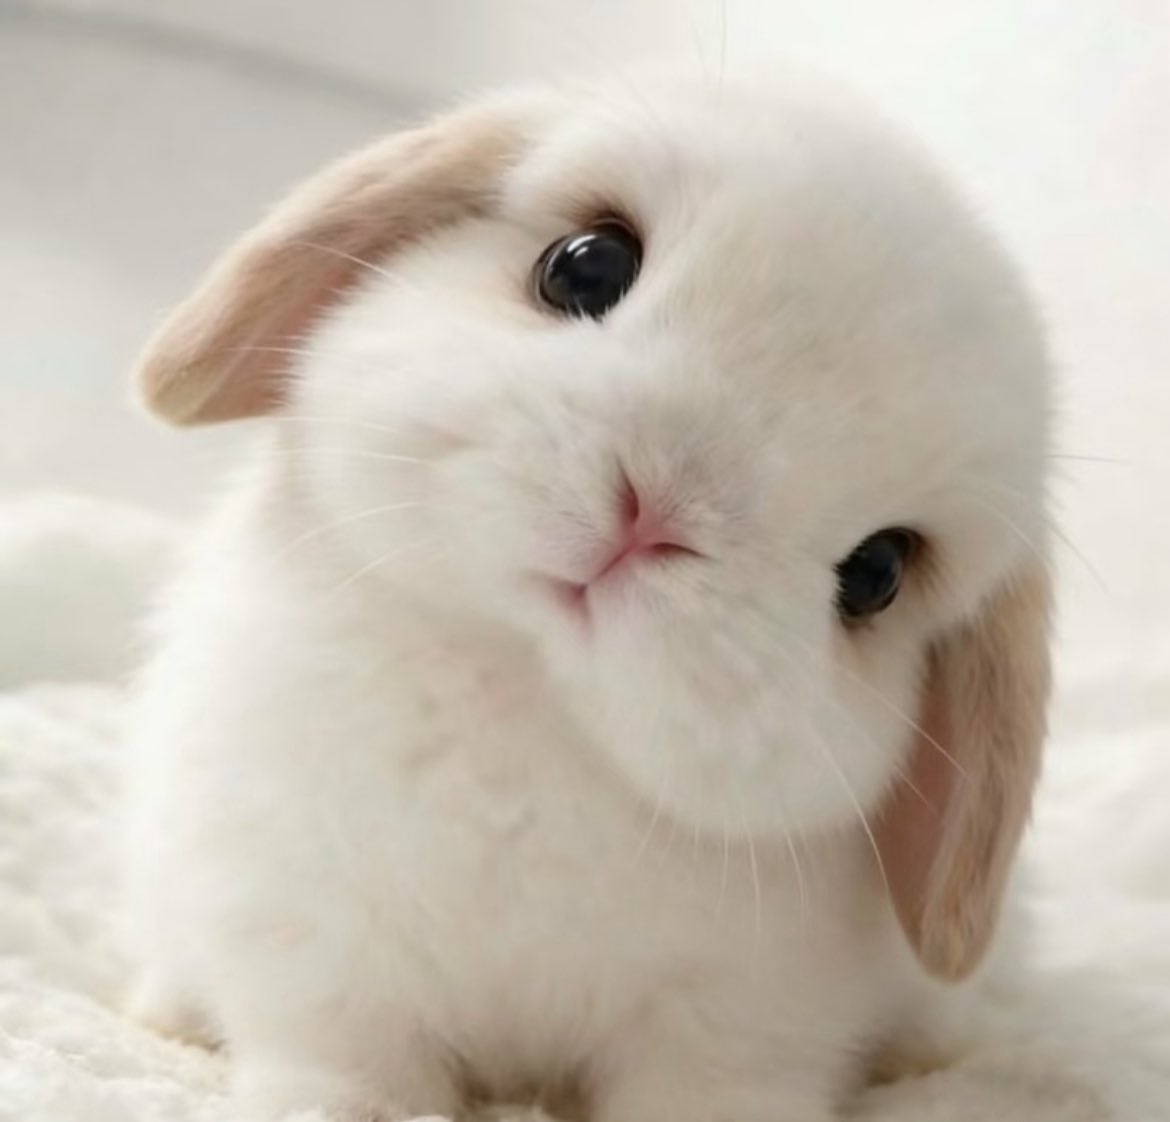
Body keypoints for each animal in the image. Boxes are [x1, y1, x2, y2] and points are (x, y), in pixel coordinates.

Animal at [120, 63, 1052, 1122]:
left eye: (878, 574)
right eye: (585, 266)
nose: (656, 509)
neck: (529, 703)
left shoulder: (737, 1031)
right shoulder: (316, 949)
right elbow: (348, 1068)